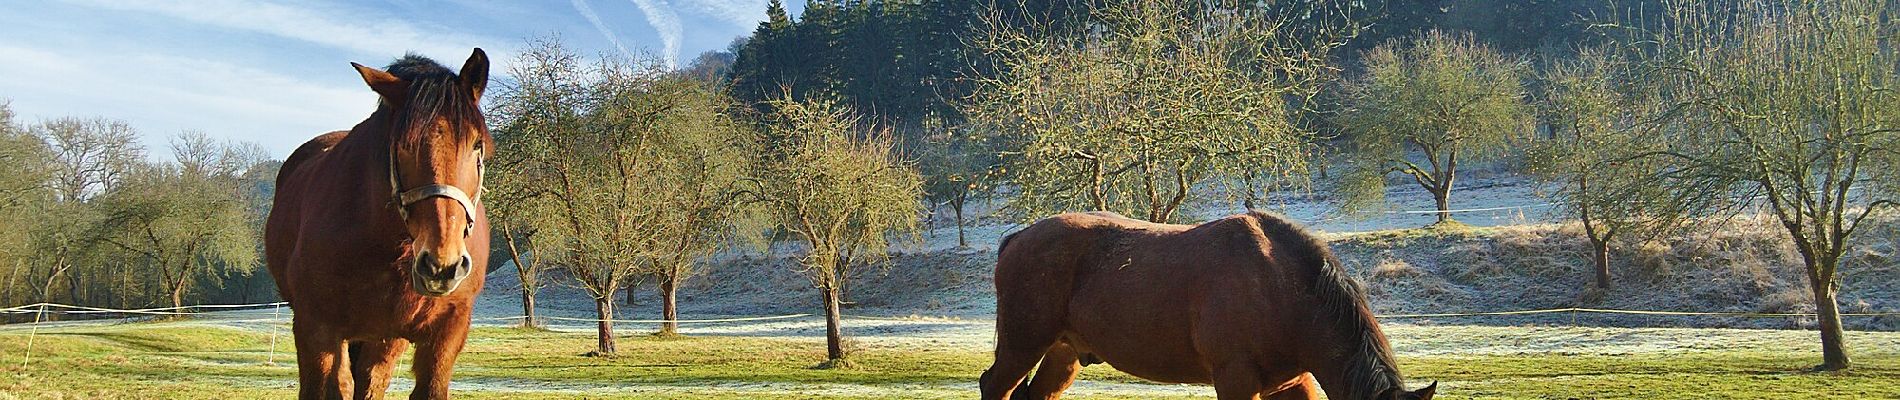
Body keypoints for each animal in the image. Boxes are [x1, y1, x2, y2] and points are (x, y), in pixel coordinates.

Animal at [267, 50, 494, 400]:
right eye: (403, 145)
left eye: (476, 144)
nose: (441, 266)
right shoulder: (315, 328)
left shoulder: (446, 333)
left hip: (385, 338)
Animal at [980, 211, 1436, 398]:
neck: (1281, 288)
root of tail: (1019, 236)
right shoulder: (1236, 380)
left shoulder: (1292, 382)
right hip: (1023, 345)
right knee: (994, 386)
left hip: (1063, 353)